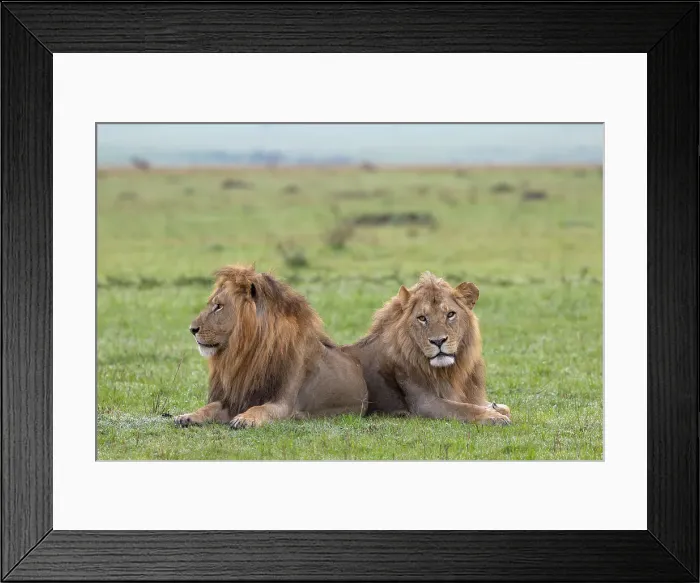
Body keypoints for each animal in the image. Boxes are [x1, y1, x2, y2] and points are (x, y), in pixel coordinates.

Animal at [174, 265, 368, 429]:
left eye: (219, 306)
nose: (192, 329)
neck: (249, 352)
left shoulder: (285, 405)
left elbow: (261, 408)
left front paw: (245, 419)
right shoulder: (236, 398)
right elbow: (210, 406)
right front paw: (186, 416)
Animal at [343, 272, 512, 425]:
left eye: (450, 314)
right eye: (422, 318)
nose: (438, 341)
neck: (450, 371)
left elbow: (501, 407)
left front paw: (495, 407)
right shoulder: (424, 403)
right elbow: (464, 408)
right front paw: (493, 417)